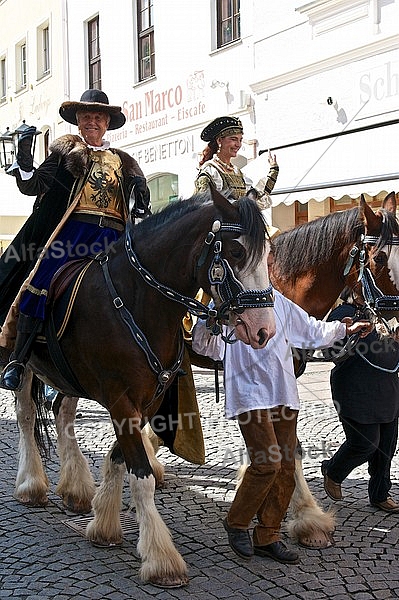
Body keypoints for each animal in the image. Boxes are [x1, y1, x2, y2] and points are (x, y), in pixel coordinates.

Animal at [12, 190, 276, 588]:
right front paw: (161, 558)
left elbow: (119, 459)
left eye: (268, 253)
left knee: (62, 414)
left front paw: (103, 522)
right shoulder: (121, 401)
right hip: (26, 364)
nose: (264, 330)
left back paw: (75, 488)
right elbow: (142, 476)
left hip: (68, 377)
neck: (137, 301)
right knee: (27, 417)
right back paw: (32, 485)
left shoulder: (146, 401)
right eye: (236, 251)